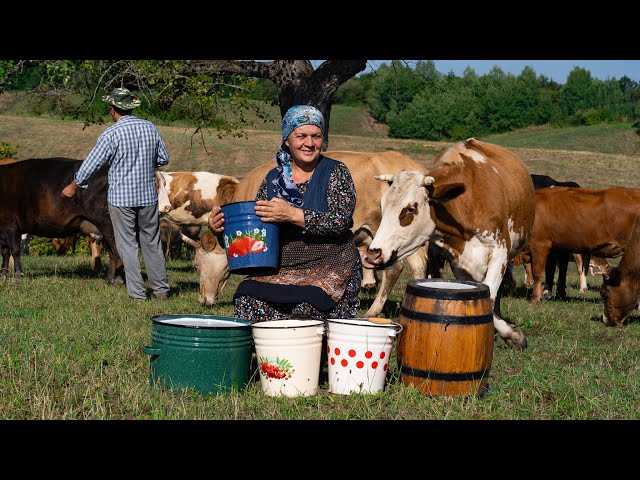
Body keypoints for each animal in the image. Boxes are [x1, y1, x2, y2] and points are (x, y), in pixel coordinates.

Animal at [175, 151, 436, 316]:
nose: (203, 300)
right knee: (419, 266)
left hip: (383, 231)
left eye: (197, 265)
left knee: (394, 268)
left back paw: (373, 311)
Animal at [364, 139, 536, 348]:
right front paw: (509, 332)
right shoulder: (458, 263)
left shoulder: (500, 252)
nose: (373, 253)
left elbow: (489, 297)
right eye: (382, 206)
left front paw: (514, 335)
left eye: (410, 209)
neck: (468, 203)